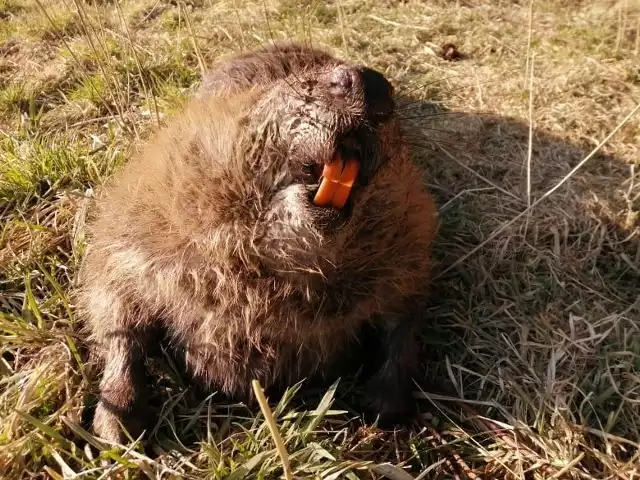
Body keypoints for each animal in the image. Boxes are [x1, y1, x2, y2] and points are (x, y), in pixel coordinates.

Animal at [74, 41, 436, 442]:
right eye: (304, 83)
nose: (367, 83)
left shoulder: (407, 242)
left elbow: (404, 319)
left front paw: (384, 402)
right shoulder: (139, 223)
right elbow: (118, 316)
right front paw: (117, 422)